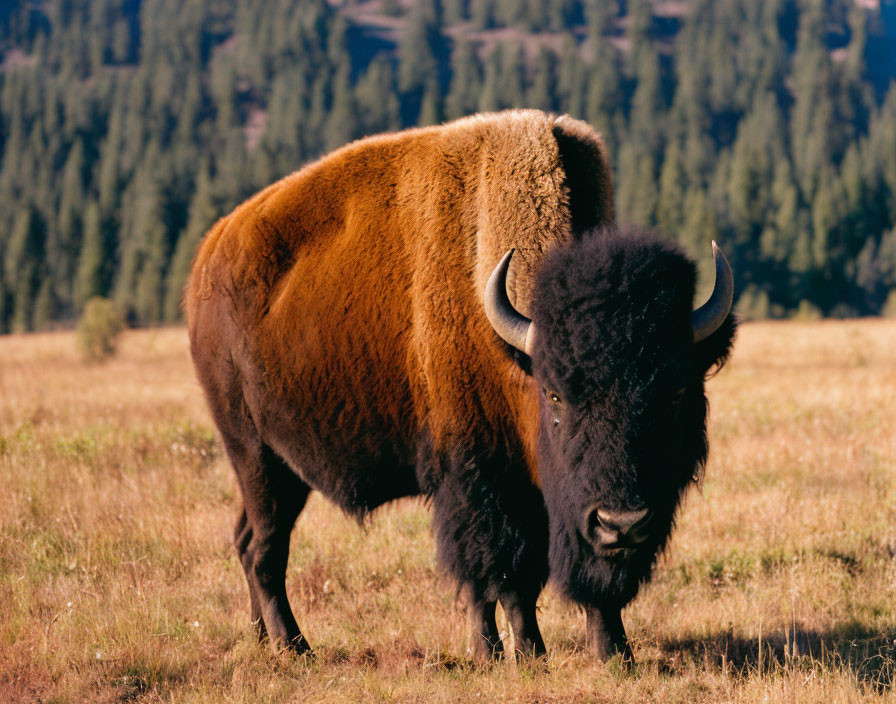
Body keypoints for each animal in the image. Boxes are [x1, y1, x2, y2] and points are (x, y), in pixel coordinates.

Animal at [184, 108, 736, 660]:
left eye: (676, 393)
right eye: (555, 395)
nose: (621, 523)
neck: (514, 350)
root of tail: (209, 254)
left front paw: (614, 653)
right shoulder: (478, 476)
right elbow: (499, 574)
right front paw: (512, 653)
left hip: (283, 470)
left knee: (246, 540)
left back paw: (262, 639)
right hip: (254, 454)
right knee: (265, 548)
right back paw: (295, 646)